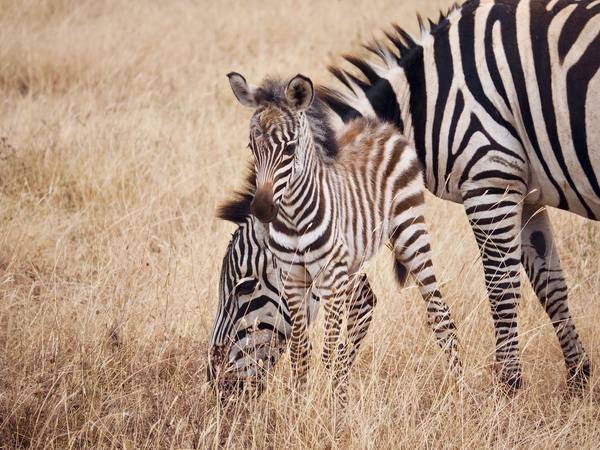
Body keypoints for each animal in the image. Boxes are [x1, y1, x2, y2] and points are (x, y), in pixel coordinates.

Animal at [316, 0, 596, 390]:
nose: (329, 382)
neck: (425, 103)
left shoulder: (490, 180)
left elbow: (501, 290)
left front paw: (507, 388)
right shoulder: (527, 194)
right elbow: (550, 285)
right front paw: (578, 378)